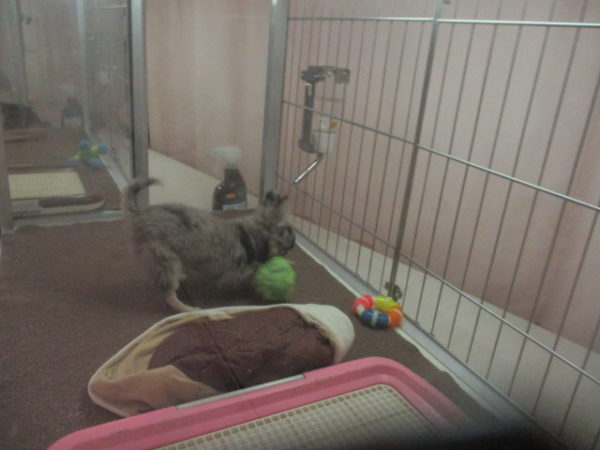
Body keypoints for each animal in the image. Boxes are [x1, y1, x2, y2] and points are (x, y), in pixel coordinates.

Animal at [123, 178, 295, 312]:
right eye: (287, 231)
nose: (294, 243)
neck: (251, 236)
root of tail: (139, 214)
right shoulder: (238, 272)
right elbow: (254, 273)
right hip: (166, 258)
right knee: (169, 296)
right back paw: (189, 309)